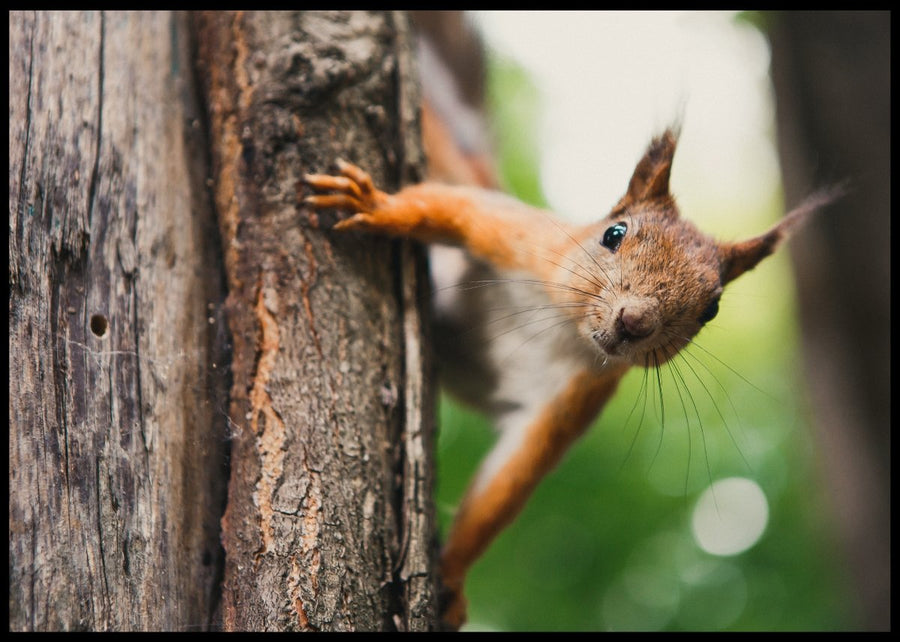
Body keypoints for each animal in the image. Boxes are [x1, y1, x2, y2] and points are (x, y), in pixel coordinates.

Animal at [303, 20, 837, 631]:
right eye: (614, 234)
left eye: (712, 310)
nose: (635, 321)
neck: (561, 327)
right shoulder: (527, 241)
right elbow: (449, 207)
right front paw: (379, 207)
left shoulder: (573, 397)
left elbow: (506, 484)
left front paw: (452, 579)